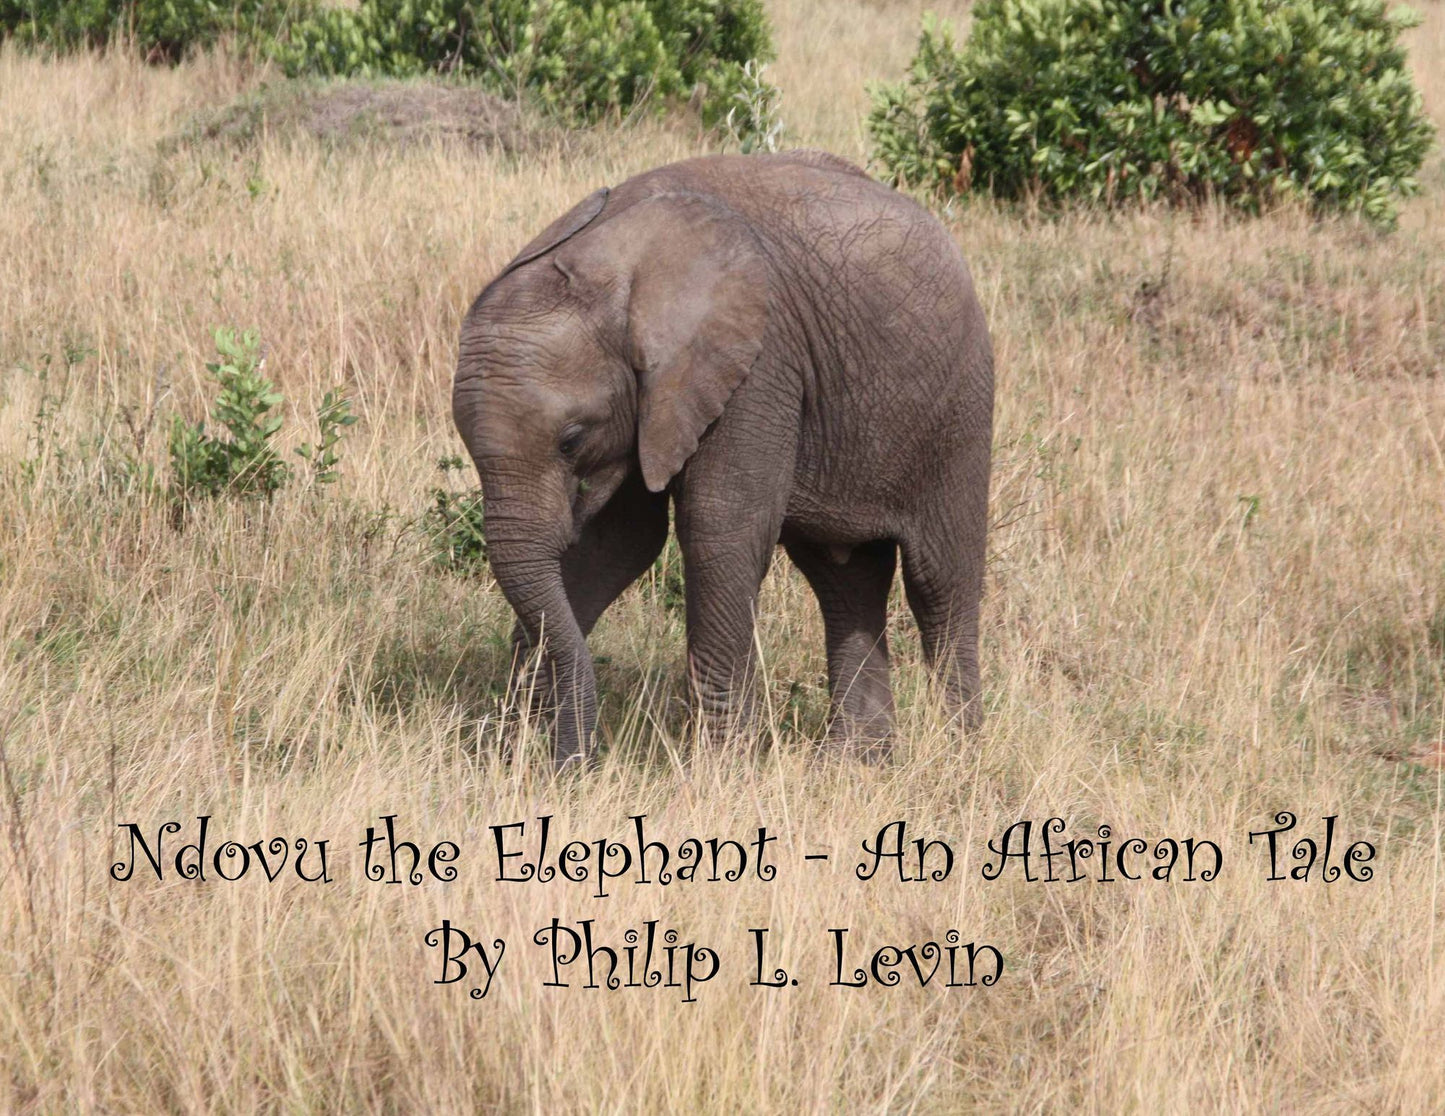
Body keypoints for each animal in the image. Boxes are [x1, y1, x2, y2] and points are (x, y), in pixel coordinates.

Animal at [452, 149, 994, 766]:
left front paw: (721, 768)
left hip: (960, 405)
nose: (576, 760)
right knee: (844, 581)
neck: (607, 261)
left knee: (939, 582)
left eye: (571, 440)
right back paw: (858, 763)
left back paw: (959, 755)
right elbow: (619, 542)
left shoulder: (757, 363)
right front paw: (528, 750)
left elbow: (719, 529)